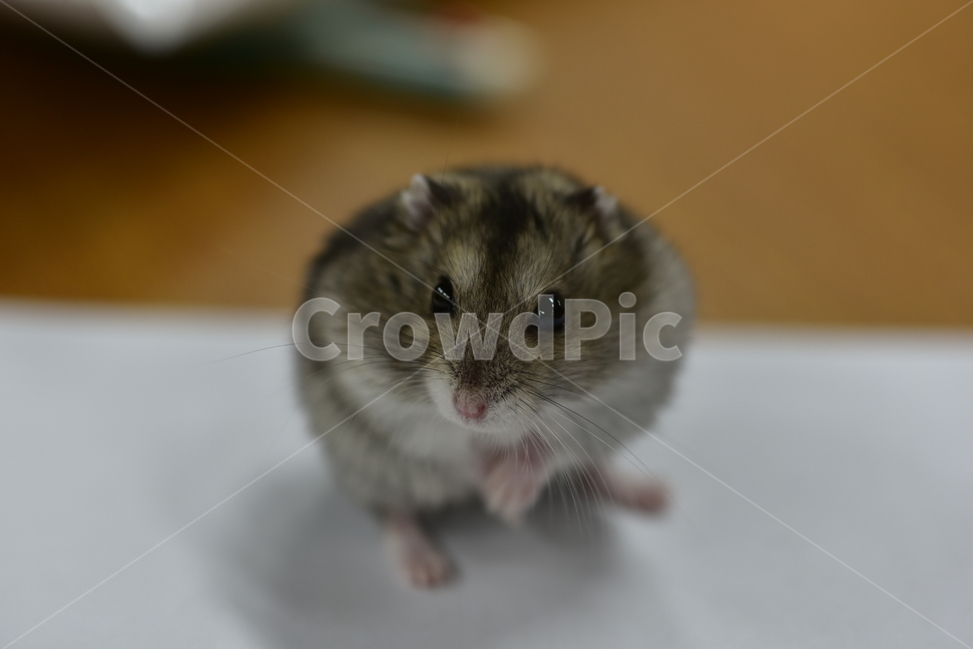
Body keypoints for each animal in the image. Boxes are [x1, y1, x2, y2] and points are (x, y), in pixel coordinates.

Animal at [296, 165, 694, 588]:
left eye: (554, 309)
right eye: (440, 295)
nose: (468, 409)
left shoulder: (628, 392)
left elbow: (554, 444)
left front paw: (507, 499)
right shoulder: (373, 398)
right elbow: (451, 446)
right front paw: (499, 497)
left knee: (587, 469)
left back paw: (653, 496)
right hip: (364, 467)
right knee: (394, 510)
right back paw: (428, 572)